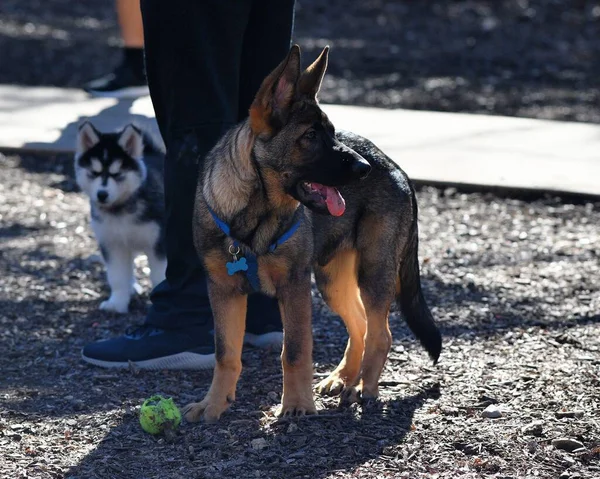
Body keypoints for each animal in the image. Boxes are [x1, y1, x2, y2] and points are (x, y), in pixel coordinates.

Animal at [76, 122, 169, 314]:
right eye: (94, 173)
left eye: (117, 174)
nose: (102, 194)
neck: (120, 210)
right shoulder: (112, 244)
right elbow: (117, 276)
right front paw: (117, 303)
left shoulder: (159, 244)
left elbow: (160, 275)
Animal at [185, 46, 442, 424]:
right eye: (310, 136)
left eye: (332, 133)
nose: (364, 169)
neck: (256, 215)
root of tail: (393, 165)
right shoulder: (223, 290)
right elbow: (225, 353)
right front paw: (214, 404)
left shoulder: (293, 287)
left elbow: (293, 351)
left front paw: (296, 406)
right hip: (331, 280)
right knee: (360, 324)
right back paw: (343, 378)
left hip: (373, 272)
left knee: (381, 332)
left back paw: (364, 389)